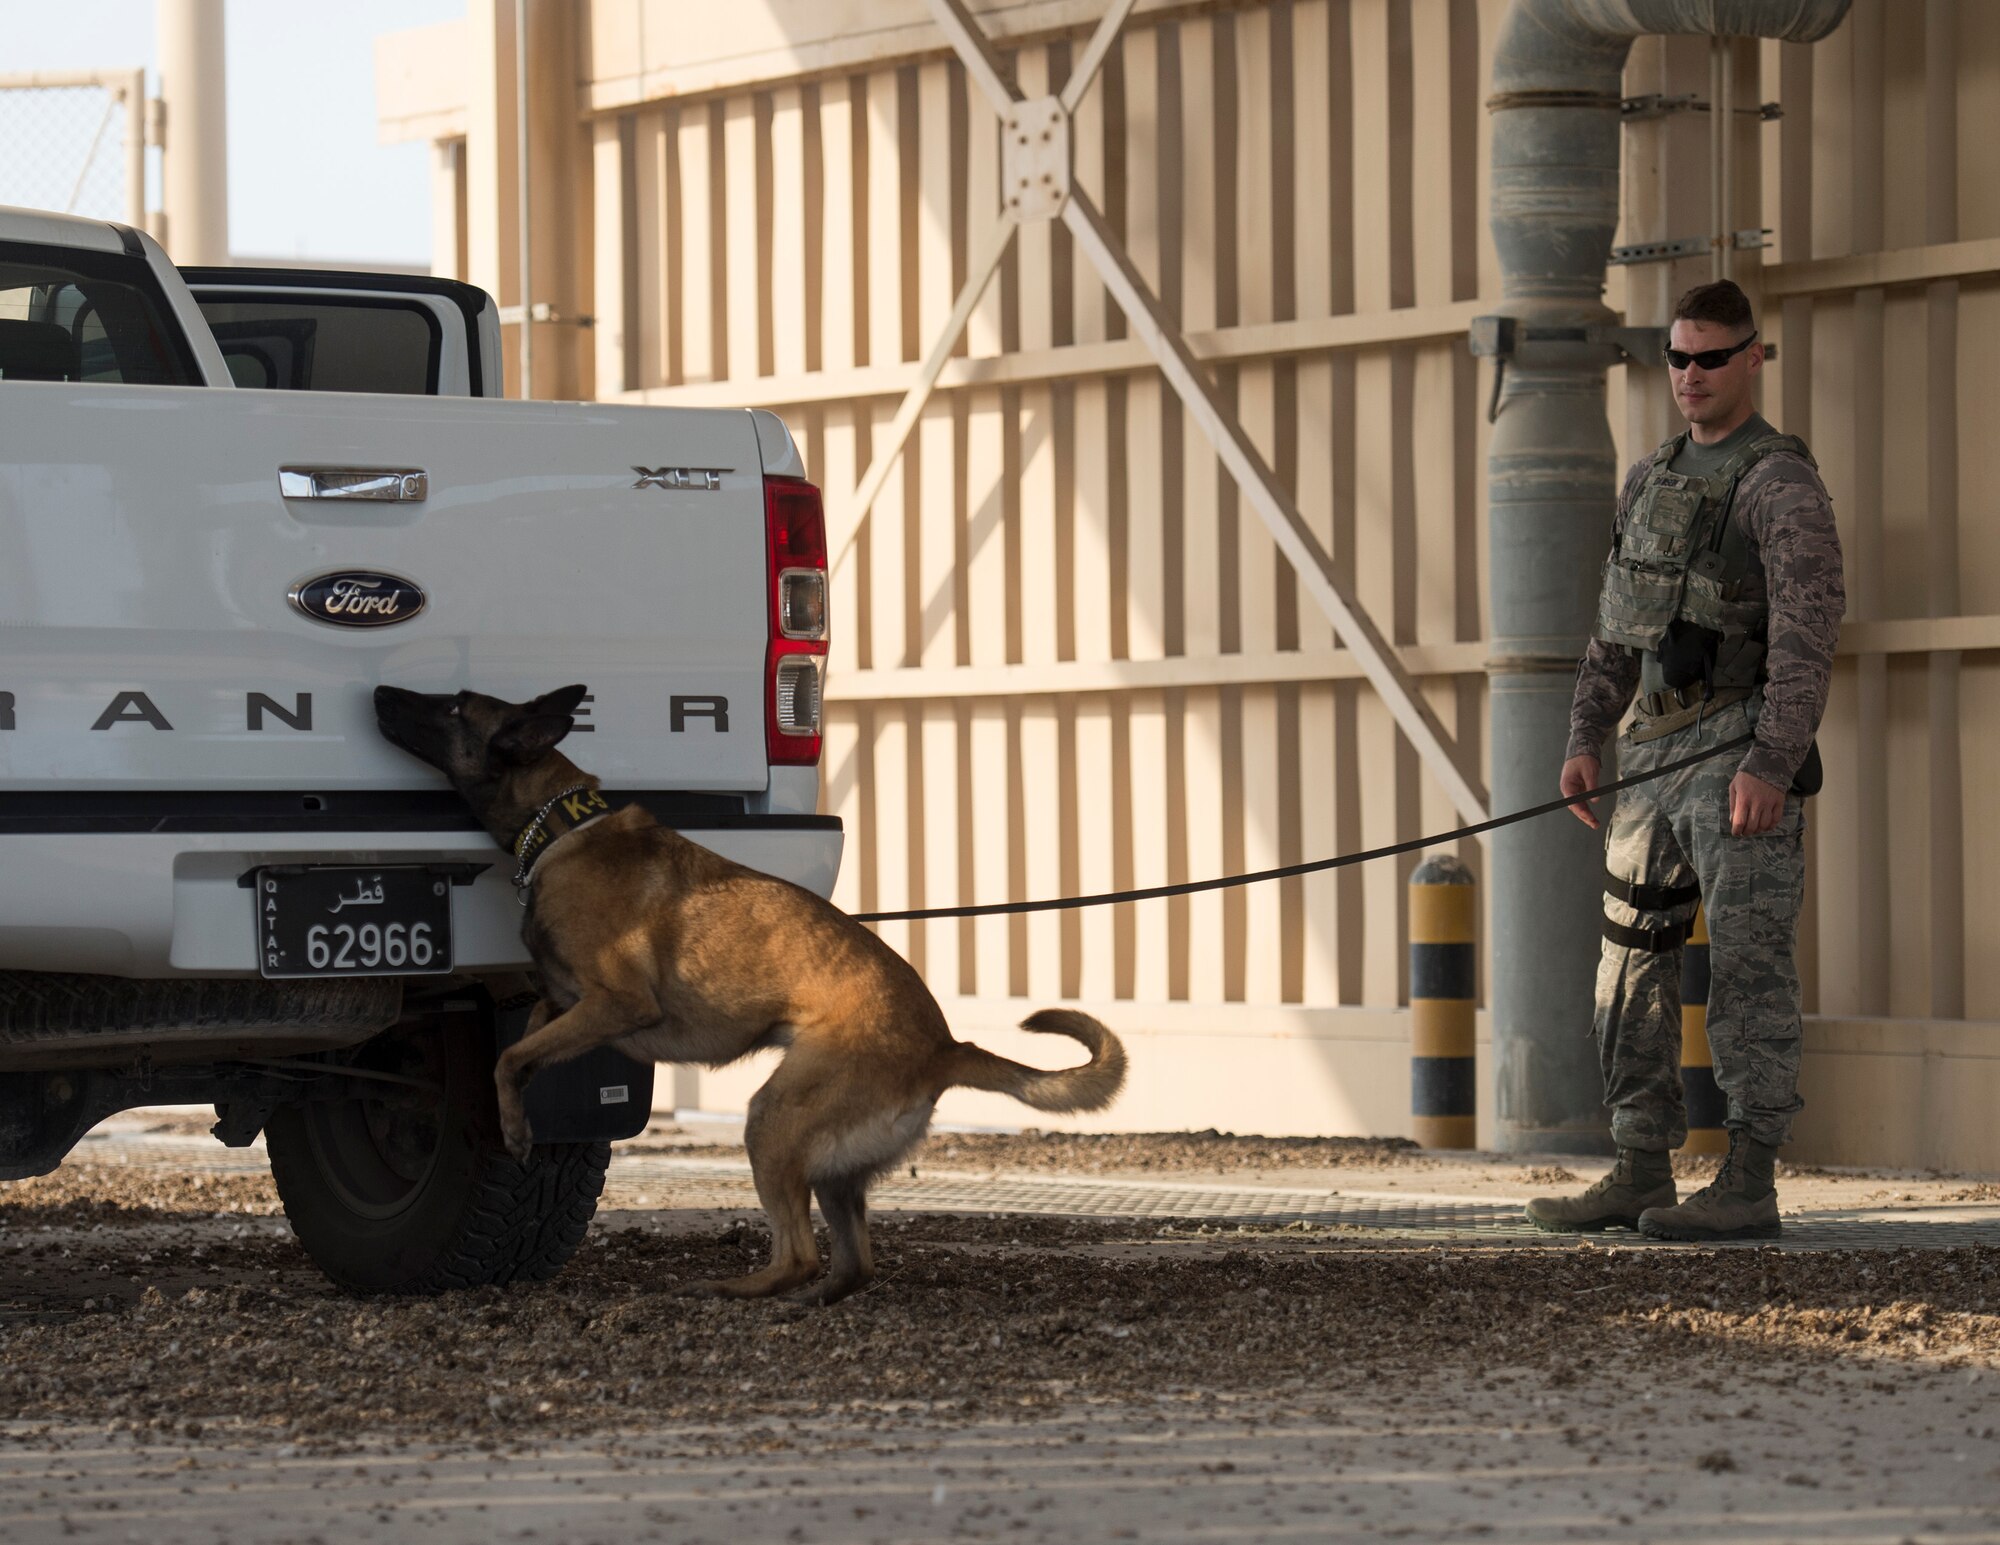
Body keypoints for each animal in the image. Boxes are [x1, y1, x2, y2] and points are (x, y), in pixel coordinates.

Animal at [376, 688, 1128, 1304]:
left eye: (453, 706)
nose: (381, 692)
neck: (560, 824)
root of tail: (946, 1045)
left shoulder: (618, 1004)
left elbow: (509, 1057)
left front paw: (515, 1128)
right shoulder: (568, 1006)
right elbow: (526, 1038)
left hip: (772, 1119)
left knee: (798, 1255)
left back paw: (733, 1287)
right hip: (828, 1165)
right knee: (852, 1264)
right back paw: (806, 1299)